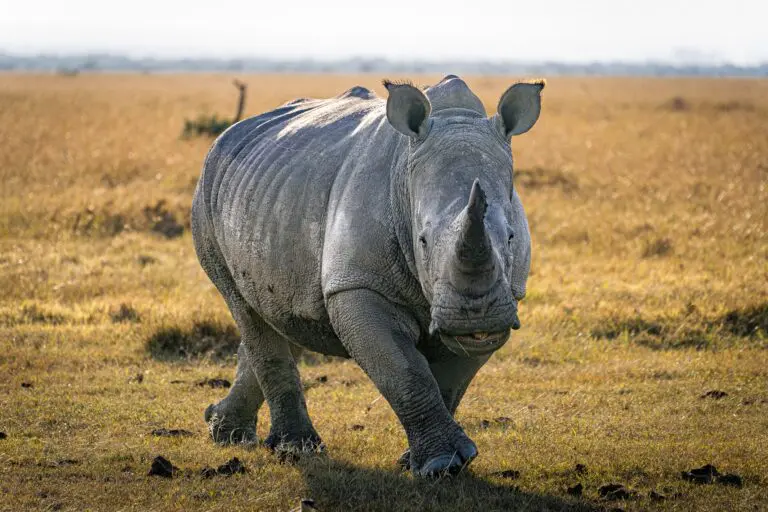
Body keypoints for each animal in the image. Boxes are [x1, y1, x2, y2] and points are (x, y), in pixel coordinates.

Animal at [191, 75, 544, 476]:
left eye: (512, 237)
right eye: (422, 240)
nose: (476, 318)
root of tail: (230, 133)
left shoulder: (504, 297)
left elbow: (452, 383)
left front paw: (426, 463)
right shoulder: (357, 285)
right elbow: (406, 373)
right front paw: (440, 464)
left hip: (267, 192)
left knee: (279, 312)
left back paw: (227, 432)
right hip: (207, 193)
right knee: (244, 307)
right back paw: (295, 450)